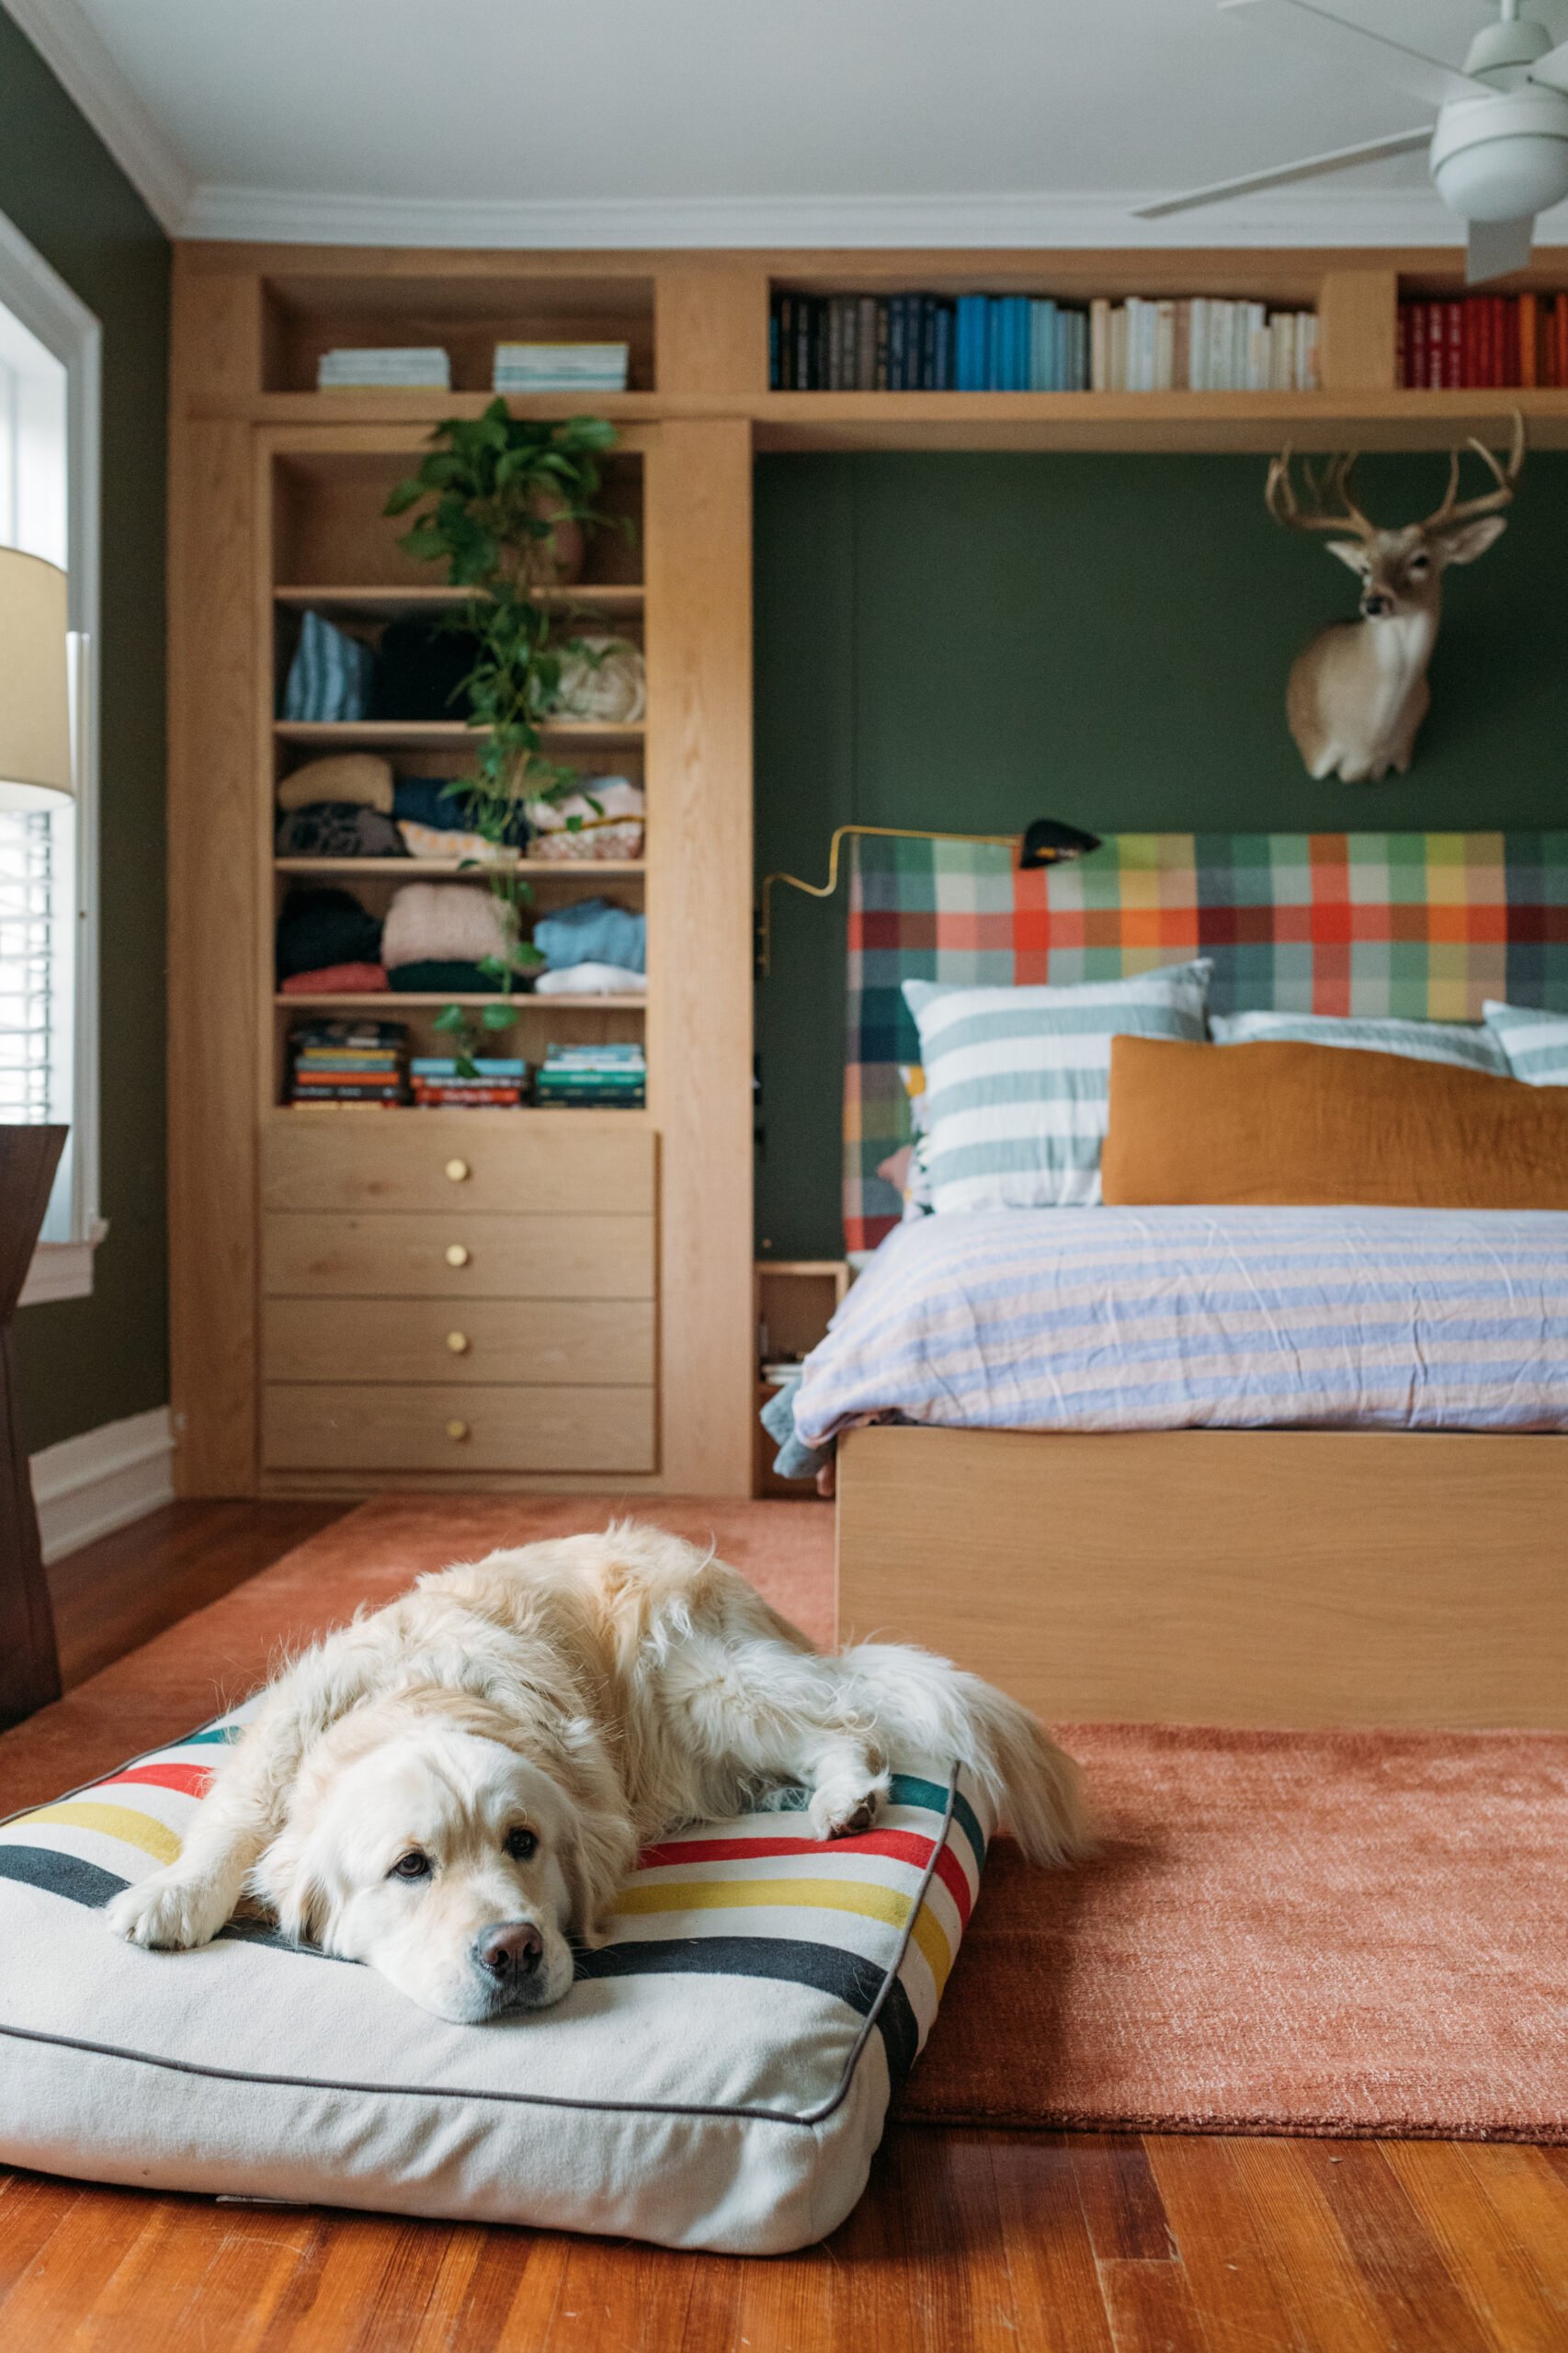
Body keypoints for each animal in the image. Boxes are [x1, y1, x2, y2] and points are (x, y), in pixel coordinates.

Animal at [107, 1524, 1087, 2023]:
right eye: (410, 1867)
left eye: (524, 1843)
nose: (513, 1951)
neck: (424, 1696)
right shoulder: (283, 1731)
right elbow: (237, 1819)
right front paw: (175, 1896)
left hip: (700, 1684)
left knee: (846, 1722)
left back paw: (845, 1798)